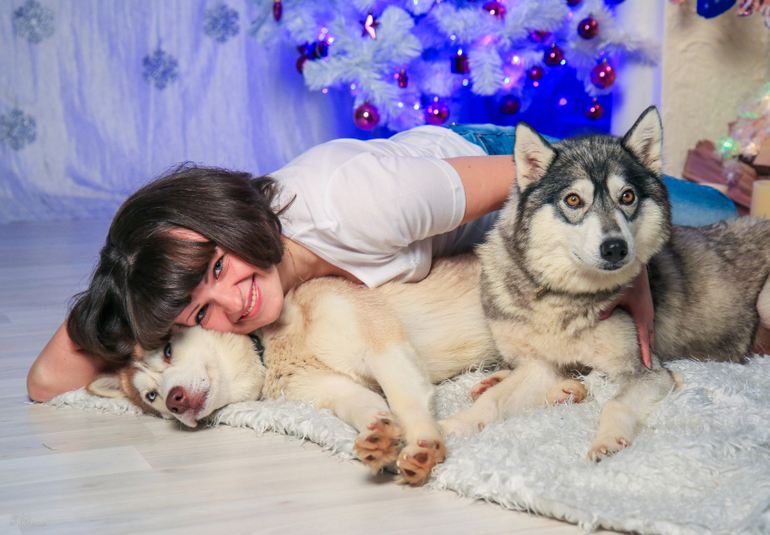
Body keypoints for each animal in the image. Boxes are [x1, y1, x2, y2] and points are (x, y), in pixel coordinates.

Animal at [87, 254, 585, 484]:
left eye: (169, 350)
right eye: (151, 398)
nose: (173, 401)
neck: (272, 348)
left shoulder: (384, 346)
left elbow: (406, 400)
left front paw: (421, 442)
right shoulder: (331, 390)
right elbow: (368, 406)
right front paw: (380, 437)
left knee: (526, 382)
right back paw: (550, 390)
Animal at [439, 106, 770, 460]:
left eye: (627, 196)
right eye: (573, 200)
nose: (615, 248)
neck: (566, 298)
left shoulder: (647, 372)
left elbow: (614, 404)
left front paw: (607, 440)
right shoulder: (540, 367)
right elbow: (493, 401)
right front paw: (453, 426)